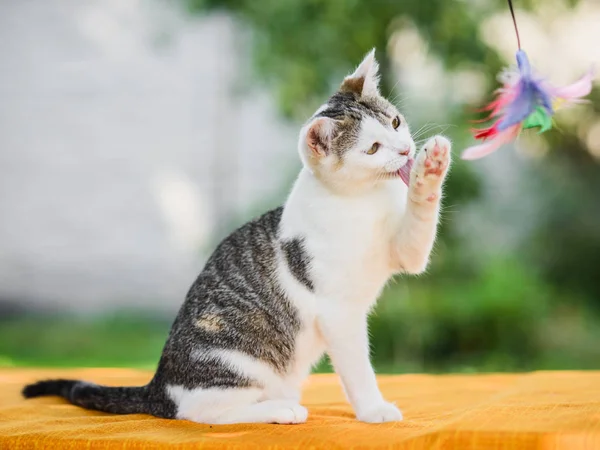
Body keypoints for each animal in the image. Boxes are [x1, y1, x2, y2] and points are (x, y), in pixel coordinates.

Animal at [22, 50, 450, 426]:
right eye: (372, 148)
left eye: (395, 123)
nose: (406, 150)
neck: (363, 199)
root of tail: (159, 384)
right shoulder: (338, 312)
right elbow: (357, 368)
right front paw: (373, 409)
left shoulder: (404, 251)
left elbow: (418, 227)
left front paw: (430, 170)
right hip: (236, 360)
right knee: (201, 413)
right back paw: (280, 409)